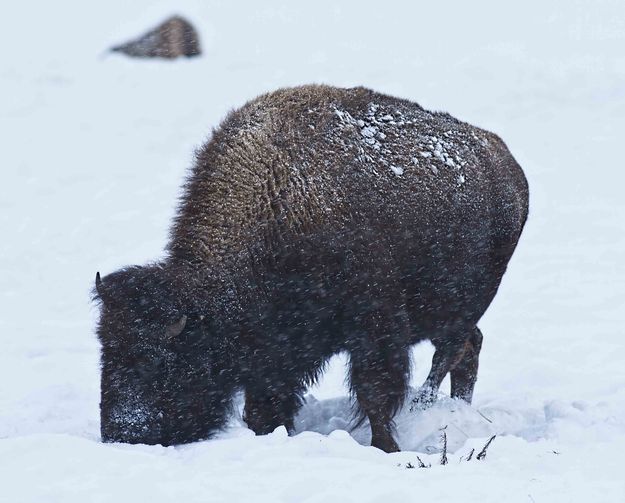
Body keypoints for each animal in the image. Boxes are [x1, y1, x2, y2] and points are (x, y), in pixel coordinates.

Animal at [95, 82, 528, 452]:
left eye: (163, 361)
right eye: (105, 349)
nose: (123, 431)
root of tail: (505, 160)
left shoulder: (375, 327)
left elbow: (374, 393)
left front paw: (386, 447)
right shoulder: (275, 349)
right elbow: (266, 404)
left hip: (459, 308)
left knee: (452, 353)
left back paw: (429, 410)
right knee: (469, 349)